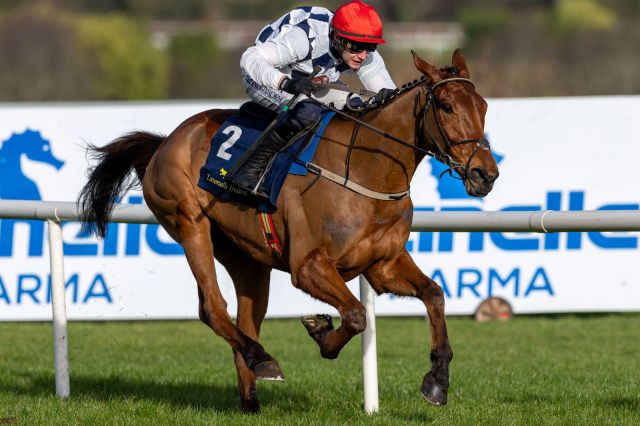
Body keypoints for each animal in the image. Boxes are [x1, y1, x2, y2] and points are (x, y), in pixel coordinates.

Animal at [77, 50, 500, 412]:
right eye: (446, 107)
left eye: (482, 106)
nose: (485, 174)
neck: (366, 170)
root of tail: (167, 140)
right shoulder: (308, 266)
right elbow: (356, 314)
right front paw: (321, 331)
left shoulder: (384, 265)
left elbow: (435, 294)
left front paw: (437, 380)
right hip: (189, 224)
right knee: (212, 308)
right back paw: (263, 360)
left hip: (247, 259)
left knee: (246, 322)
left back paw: (251, 397)